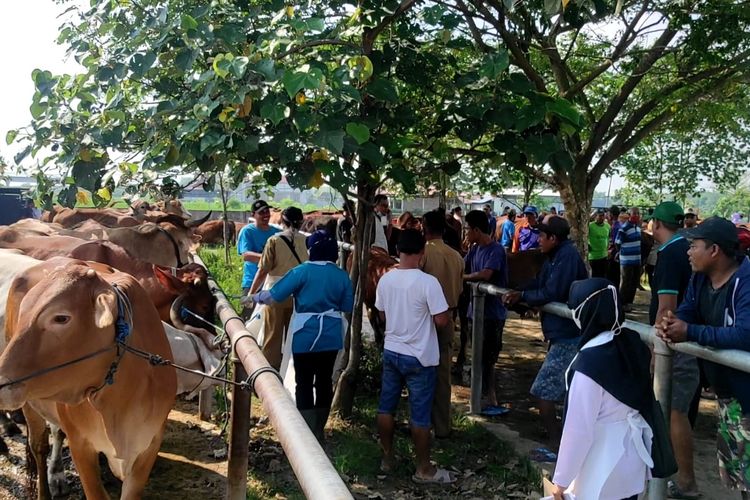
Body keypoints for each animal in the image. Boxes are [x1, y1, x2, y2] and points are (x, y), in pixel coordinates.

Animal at [0, 260, 178, 498]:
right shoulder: (81, 444)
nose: (2, 381)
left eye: (61, 317)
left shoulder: (149, 445)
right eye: (24, 312)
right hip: (29, 404)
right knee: (39, 447)